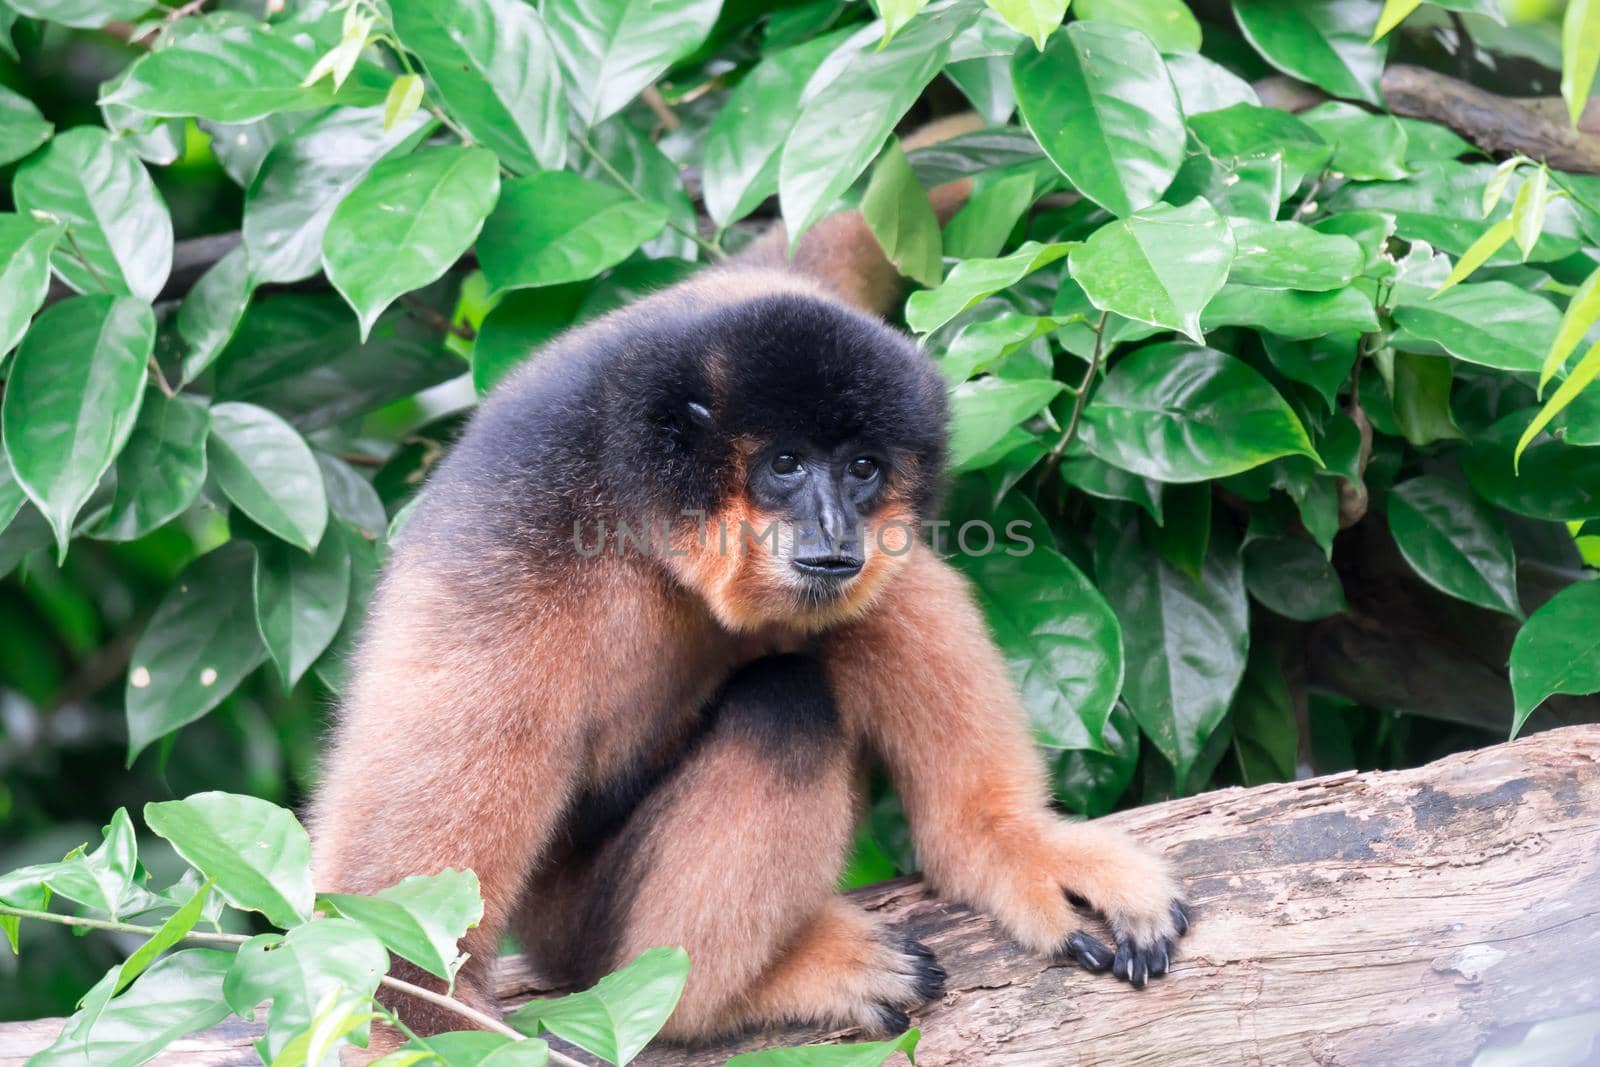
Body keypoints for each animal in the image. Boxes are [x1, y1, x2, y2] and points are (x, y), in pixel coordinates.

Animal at [308, 125, 1190, 1049]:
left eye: (863, 468)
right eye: (786, 464)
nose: (835, 525)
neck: (640, 523)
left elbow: (817, 248)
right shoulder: (514, 555)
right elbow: (401, 963)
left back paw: (995, 842)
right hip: (577, 924)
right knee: (786, 701)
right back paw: (725, 997)